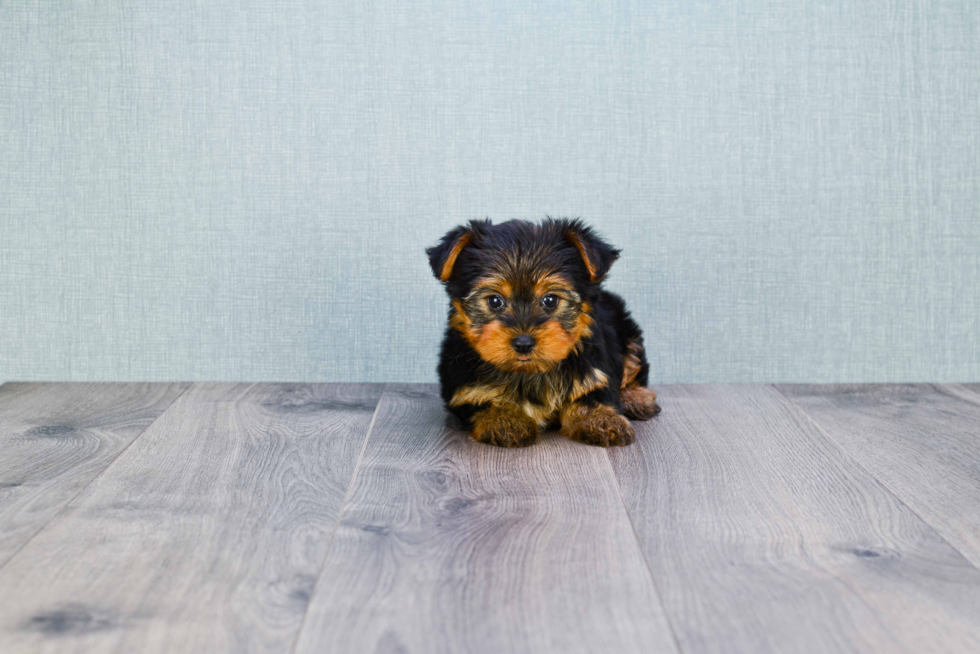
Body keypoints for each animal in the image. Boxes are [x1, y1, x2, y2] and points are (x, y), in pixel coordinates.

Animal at [426, 218, 664, 448]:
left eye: (550, 300)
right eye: (494, 301)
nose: (523, 343)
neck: (529, 373)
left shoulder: (594, 374)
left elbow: (591, 399)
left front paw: (604, 421)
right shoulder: (464, 390)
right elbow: (485, 401)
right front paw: (505, 421)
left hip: (625, 328)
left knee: (633, 364)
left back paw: (636, 399)